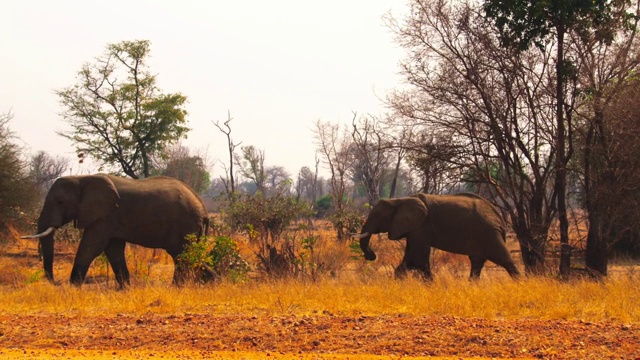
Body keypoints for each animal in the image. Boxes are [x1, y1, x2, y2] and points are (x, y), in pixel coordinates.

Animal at [20, 173, 208, 288]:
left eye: (60, 201)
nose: (56, 283)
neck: (82, 178)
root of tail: (203, 209)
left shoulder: (105, 215)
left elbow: (91, 248)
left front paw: (73, 287)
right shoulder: (109, 219)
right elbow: (113, 250)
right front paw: (125, 288)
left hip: (185, 225)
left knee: (182, 255)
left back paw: (177, 287)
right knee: (187, 256)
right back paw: (210, 282)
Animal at [356, 193, 520, 280]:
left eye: (377, 216)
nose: (371, 256)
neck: (400, 200)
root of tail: (497, 216)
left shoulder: (422, 226)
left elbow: (418, 260)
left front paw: (430, 286)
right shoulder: (415, 228)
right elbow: (409, 260)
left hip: (489, 233)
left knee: (504, 260)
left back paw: (520, 285)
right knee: (477, 262)